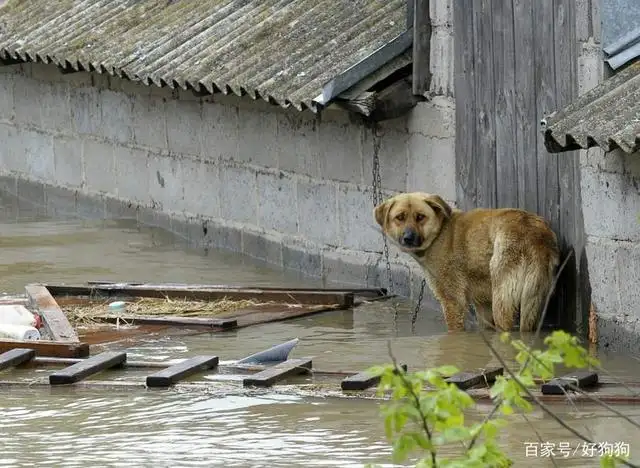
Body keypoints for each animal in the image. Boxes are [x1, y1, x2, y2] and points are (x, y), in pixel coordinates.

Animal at [372, 192, 556, 330]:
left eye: (420, 217)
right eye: (400, 217)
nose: (408, 238)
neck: (439, 233)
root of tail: (531, 232)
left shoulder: (452, 301)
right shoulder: (483, 304)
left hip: (502, 300)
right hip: (532, 302)